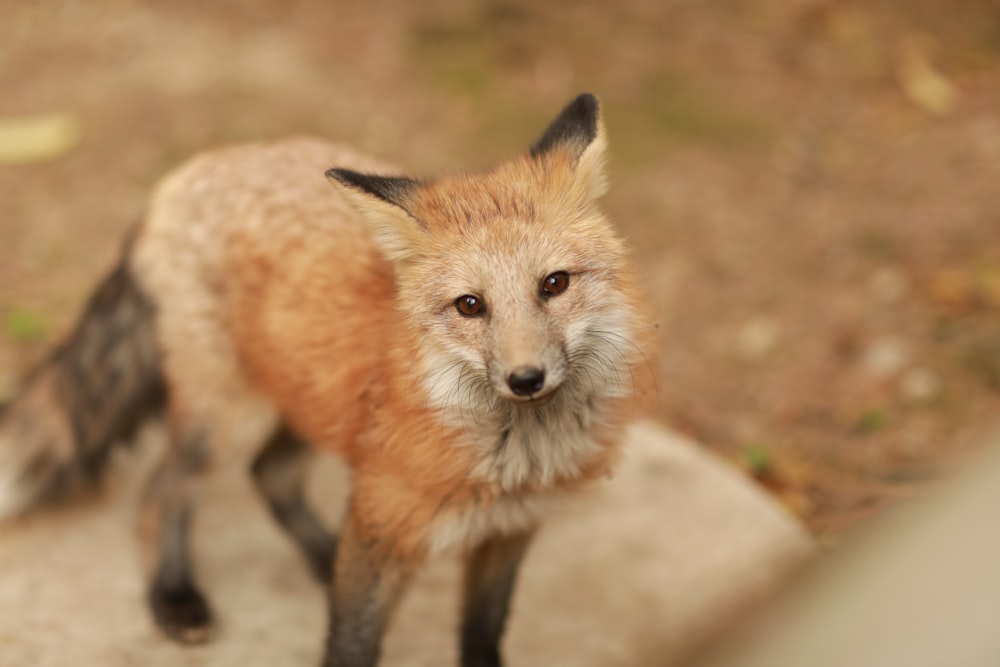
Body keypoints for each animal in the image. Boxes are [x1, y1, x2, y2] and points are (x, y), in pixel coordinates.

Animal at [0, 94, 656, 667]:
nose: (526, 378)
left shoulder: (507, 534)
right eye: (470, 306)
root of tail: (190, 172)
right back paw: (175, 596)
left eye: (554, 284)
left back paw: (321, 555)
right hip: (230, 419)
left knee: (270, 475)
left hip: (308, 396)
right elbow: (352, 645)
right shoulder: (383, 518)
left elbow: (482, 635)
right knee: (162, 490)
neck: (515, 461)